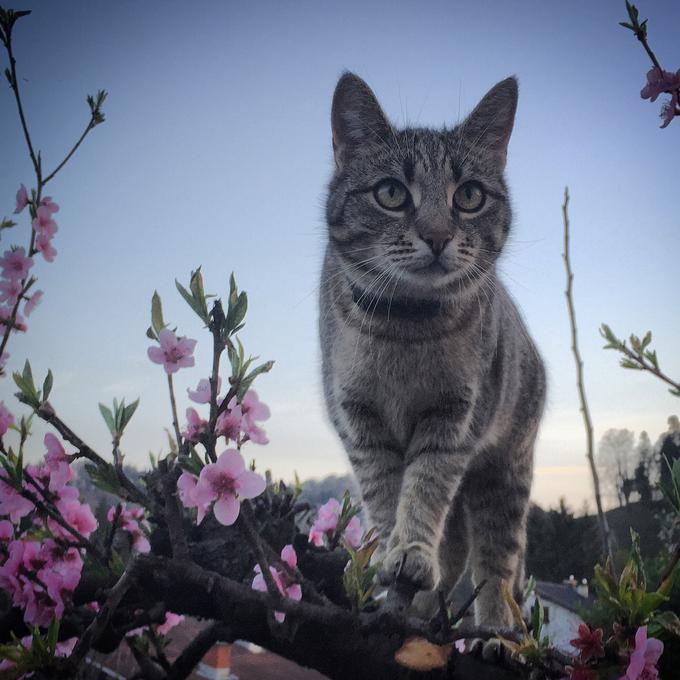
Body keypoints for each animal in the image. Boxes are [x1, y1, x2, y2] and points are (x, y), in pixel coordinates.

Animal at [318, 71, 548, 624]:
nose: (438, 235)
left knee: (495, 568)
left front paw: (413, 551)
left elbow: (423, 491)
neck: (405, 326)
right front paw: (395, 555)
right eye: (390, 192)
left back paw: (496, 632)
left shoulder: (454, 420)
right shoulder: (361, 424)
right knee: (458, 547)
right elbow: (387, 495)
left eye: (469, 195)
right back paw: (424, 606)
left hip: (503, 476)